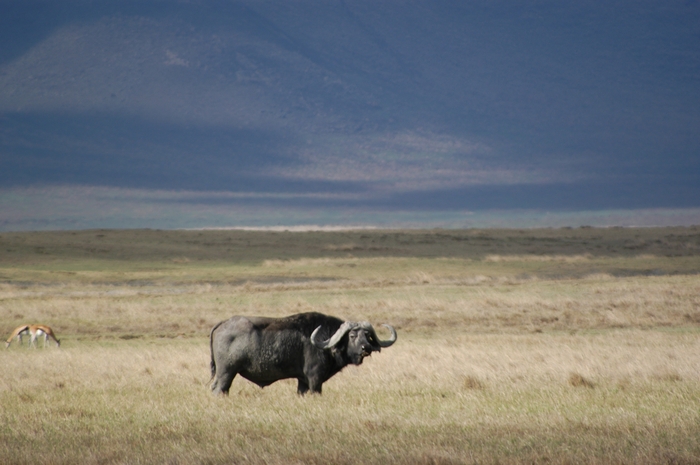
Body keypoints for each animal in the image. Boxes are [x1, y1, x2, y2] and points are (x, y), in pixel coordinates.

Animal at [209, 312, 397, 396]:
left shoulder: (302, 381)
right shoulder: (315, 379)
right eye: (352, 336)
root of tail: (223, 323)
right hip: (227, 373)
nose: (367, 348)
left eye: (367, 335)